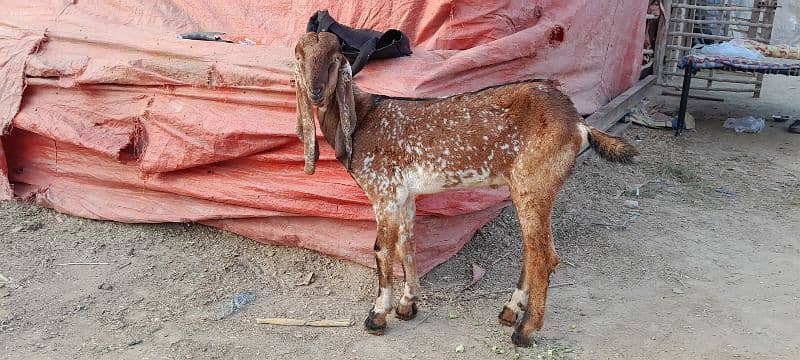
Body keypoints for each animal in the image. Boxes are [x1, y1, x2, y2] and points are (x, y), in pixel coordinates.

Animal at [294, 32, 636, 348]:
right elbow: (407, 244)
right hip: (532, 188)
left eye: (335, 59)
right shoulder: (405, 196)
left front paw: (377, 316)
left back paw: (524, 331)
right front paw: (408, 304)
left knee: (543, 256)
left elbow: (382, 250)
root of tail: (578, 123)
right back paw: (510, 311)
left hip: (534, 183)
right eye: (300, 58)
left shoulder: (384, 193)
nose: (315, 92)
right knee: (532, 250)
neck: (363, 118)